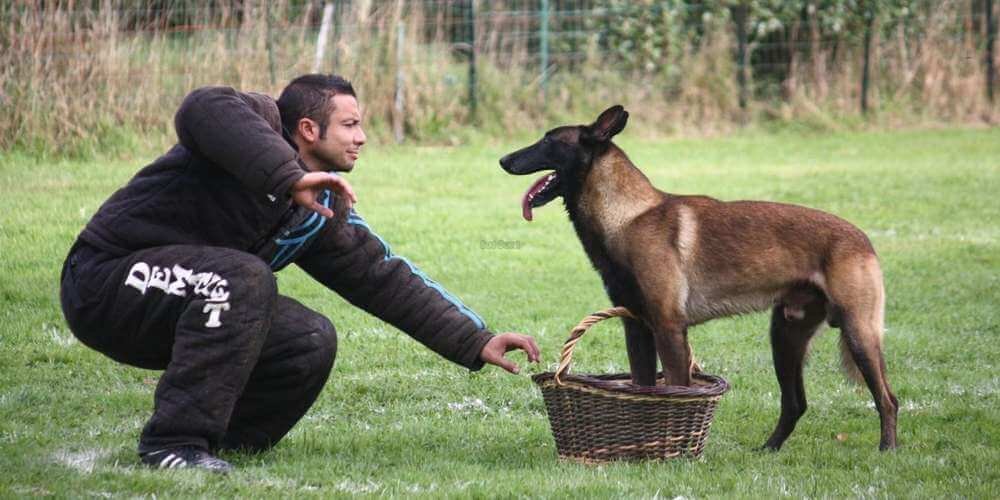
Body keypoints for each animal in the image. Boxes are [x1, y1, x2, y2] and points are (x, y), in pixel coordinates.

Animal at [500, 104, 900, 450]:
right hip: (785, 338)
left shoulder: (669, 327)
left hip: (858, 333)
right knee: (795, 404)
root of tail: (863, 238)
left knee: (887, 399)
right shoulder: (637, 328)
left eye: (549, 141)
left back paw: (887, 451)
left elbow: (677, 388)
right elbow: (643, 386)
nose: (503, 160)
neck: (628, 217)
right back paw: (768, 450)